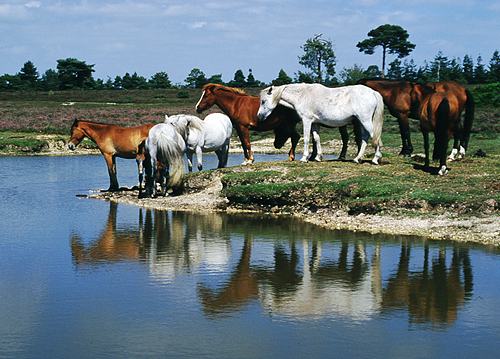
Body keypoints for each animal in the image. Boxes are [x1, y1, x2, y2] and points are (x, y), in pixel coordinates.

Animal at [195, 83, 352, 164]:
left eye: (206, 95)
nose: (197, 108)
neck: (237, 104)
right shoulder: (239, 128)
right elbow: (244, 144)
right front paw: (246, 160)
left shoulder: (243, 127)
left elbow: (247, 143)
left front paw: (249, 160)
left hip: (289, 124)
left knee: (296, 137)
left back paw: (294, 156)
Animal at [256, 83, 384, 164]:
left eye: (263, 101)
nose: (259, 116)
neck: (303, 95)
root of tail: (373, 92)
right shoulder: (315, 123)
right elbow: (317, 139)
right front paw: (318, 157)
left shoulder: (307, 121)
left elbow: (306, 139)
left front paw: (304, 158)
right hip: (361, 122)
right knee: (365, 138)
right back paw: (357, 159)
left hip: (365, 121)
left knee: (375, 138)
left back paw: (375, 159)